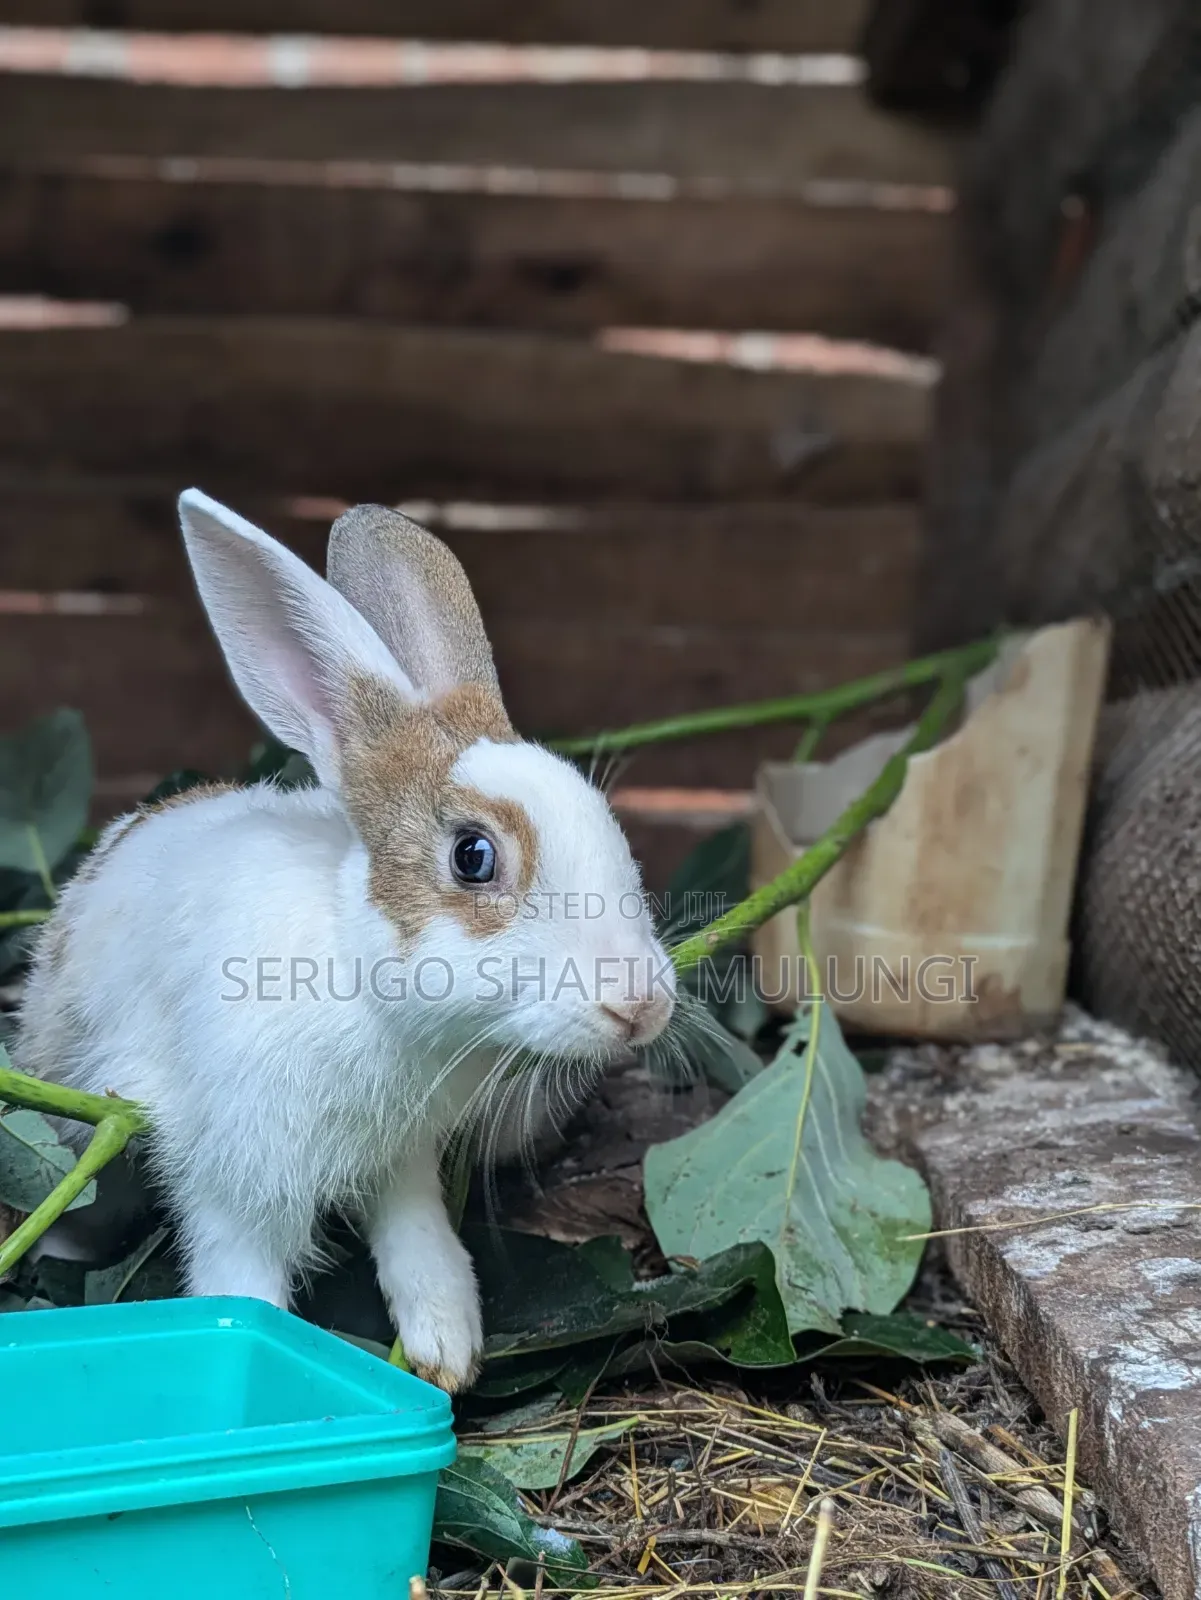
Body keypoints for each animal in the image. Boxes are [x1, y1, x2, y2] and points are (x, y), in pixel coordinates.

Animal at [15, 490, 676, 1390]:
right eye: (473, 857)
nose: (641, 1006)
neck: (367, 988)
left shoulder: (401, 1159)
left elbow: (419, 1243)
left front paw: (446, 1350)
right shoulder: (235, 1175)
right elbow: (243, 1288)